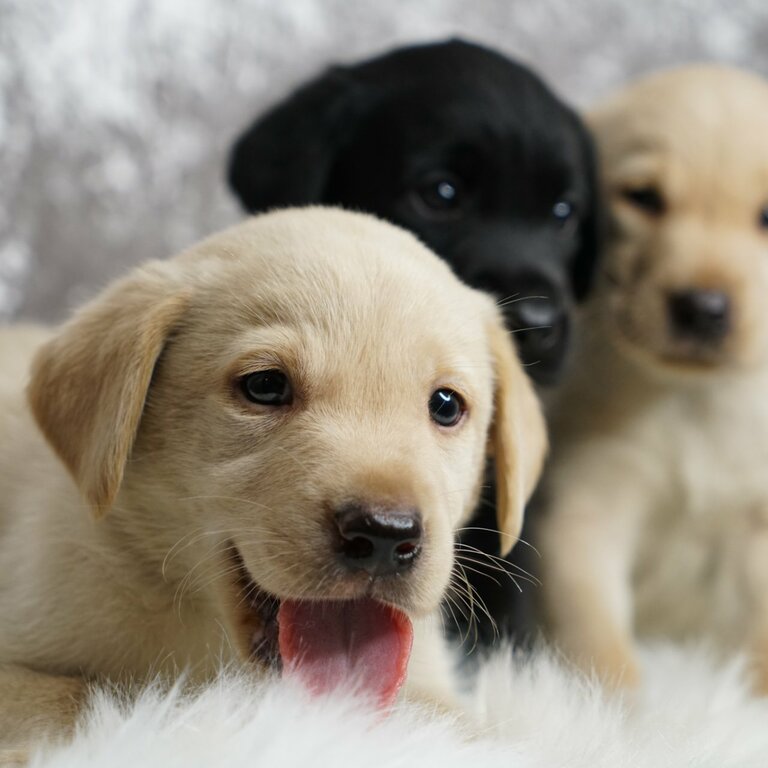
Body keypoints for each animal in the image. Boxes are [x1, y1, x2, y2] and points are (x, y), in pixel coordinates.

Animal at [536, 64, 768, 688]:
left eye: (767, 216)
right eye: (643, 198)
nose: (703, 308)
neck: (695, 400)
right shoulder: (588, 503)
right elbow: (593, 628)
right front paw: (614, 704)